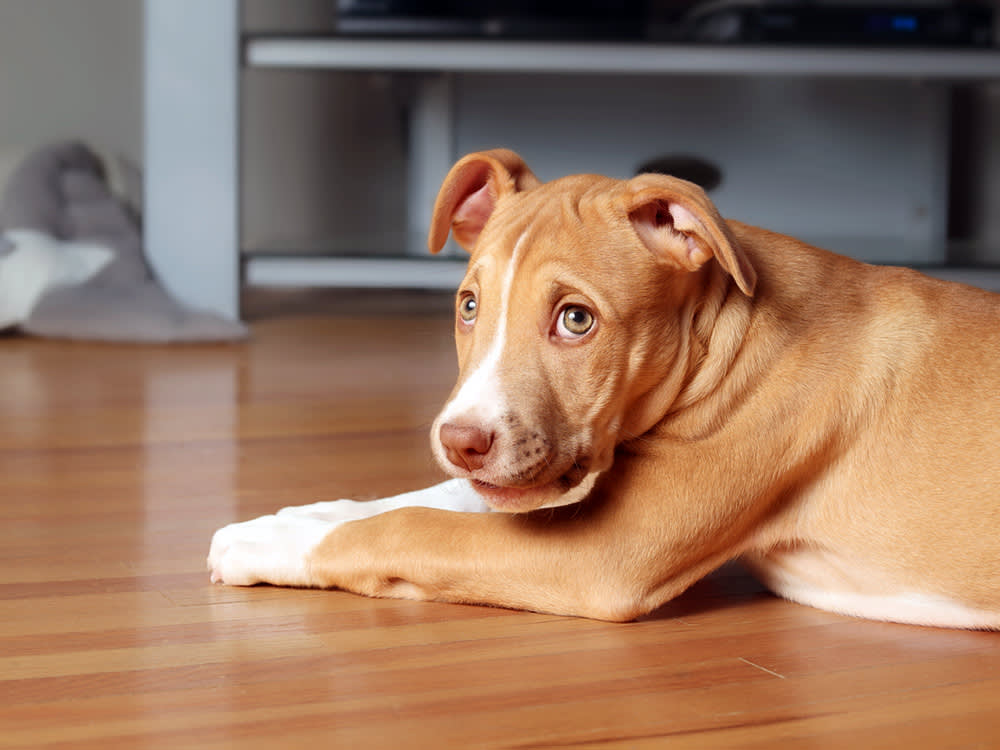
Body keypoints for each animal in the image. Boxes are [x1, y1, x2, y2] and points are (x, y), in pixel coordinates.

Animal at [209, 148, 1000, 628]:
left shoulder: (609, 551)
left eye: (576, 319)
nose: (460, 440)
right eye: (469, 306)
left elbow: (413, 525)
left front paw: (282, 544)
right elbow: (425, 500)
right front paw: (282, 522)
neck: (729, 333)